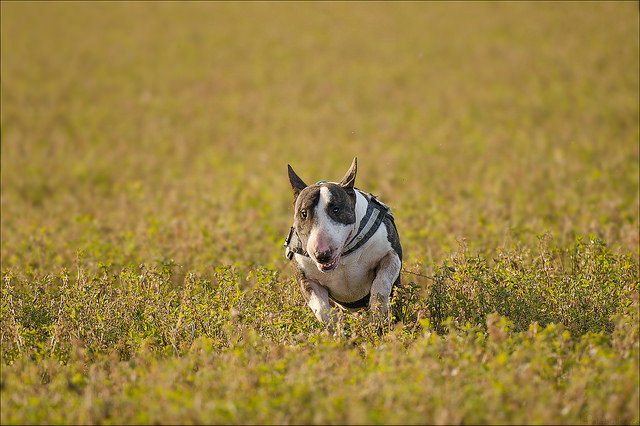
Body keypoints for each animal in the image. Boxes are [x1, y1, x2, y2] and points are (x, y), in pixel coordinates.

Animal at [284, 158, 400, 324]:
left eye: (336, 209)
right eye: (304, 213)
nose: (322, 255)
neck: (344, 255)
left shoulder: (391, 255)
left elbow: (381, 284)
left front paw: (377, 315)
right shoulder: (306, 278)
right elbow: (321, 308)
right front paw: (337, 327)